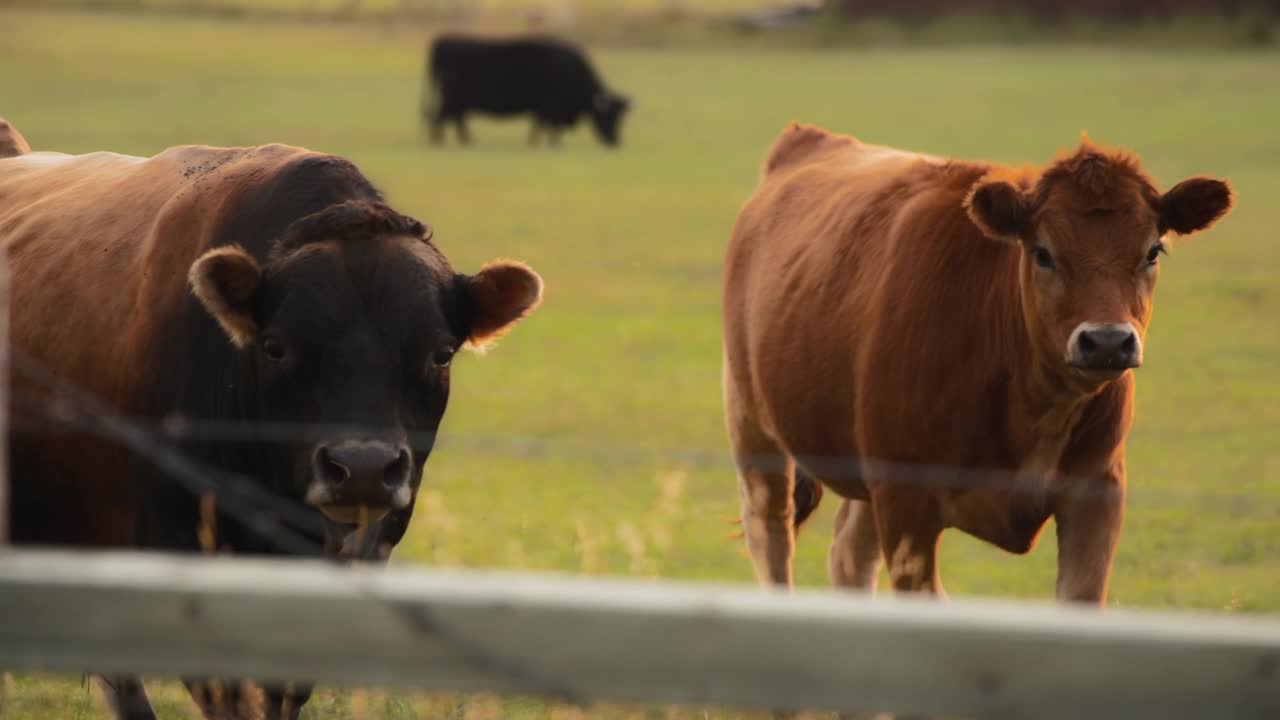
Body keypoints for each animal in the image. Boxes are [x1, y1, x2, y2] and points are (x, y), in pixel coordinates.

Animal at [424, 34, 629, 147]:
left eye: (620, 117)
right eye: (609, 116)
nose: (615, 142)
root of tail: (442, 44)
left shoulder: (542, 107)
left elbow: (540, 125)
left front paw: (537, 142)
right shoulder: (551, 105)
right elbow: (548, 126)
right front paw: (551, 143)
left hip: (456, 101)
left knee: (453, 119)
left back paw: (463, 141)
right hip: (452, 99)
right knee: (443, 118)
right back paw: (443, 141)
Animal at [721, 121, 1228, 599]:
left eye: (1152, 251)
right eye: (1042, 252)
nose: (1106, 341)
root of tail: (808, 140)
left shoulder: (1097, 492)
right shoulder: (905, 502)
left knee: (849, 551)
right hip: (754, 428)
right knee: (772, 539)